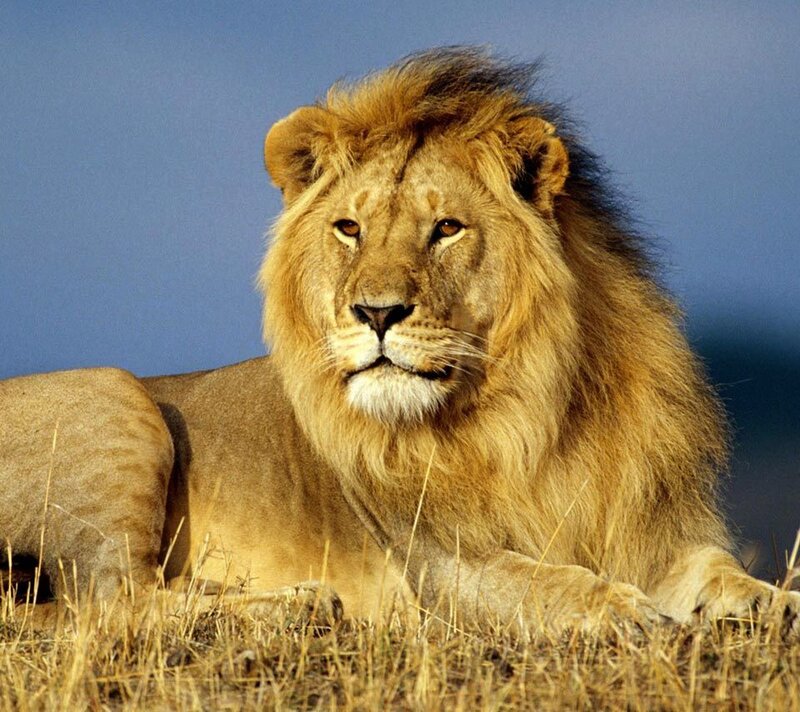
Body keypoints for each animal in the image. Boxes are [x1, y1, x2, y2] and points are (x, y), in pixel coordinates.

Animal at [1, 48, 798, 637]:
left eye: (445, 228)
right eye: (349, 228)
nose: (375, 312)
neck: (533, 411)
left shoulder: (652, 530)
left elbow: (720, 571)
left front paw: (771, 602)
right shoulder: (442, 566)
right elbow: (545, 583)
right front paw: (625, 611)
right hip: (113, 394)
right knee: (110, 603)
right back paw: (299, 606)